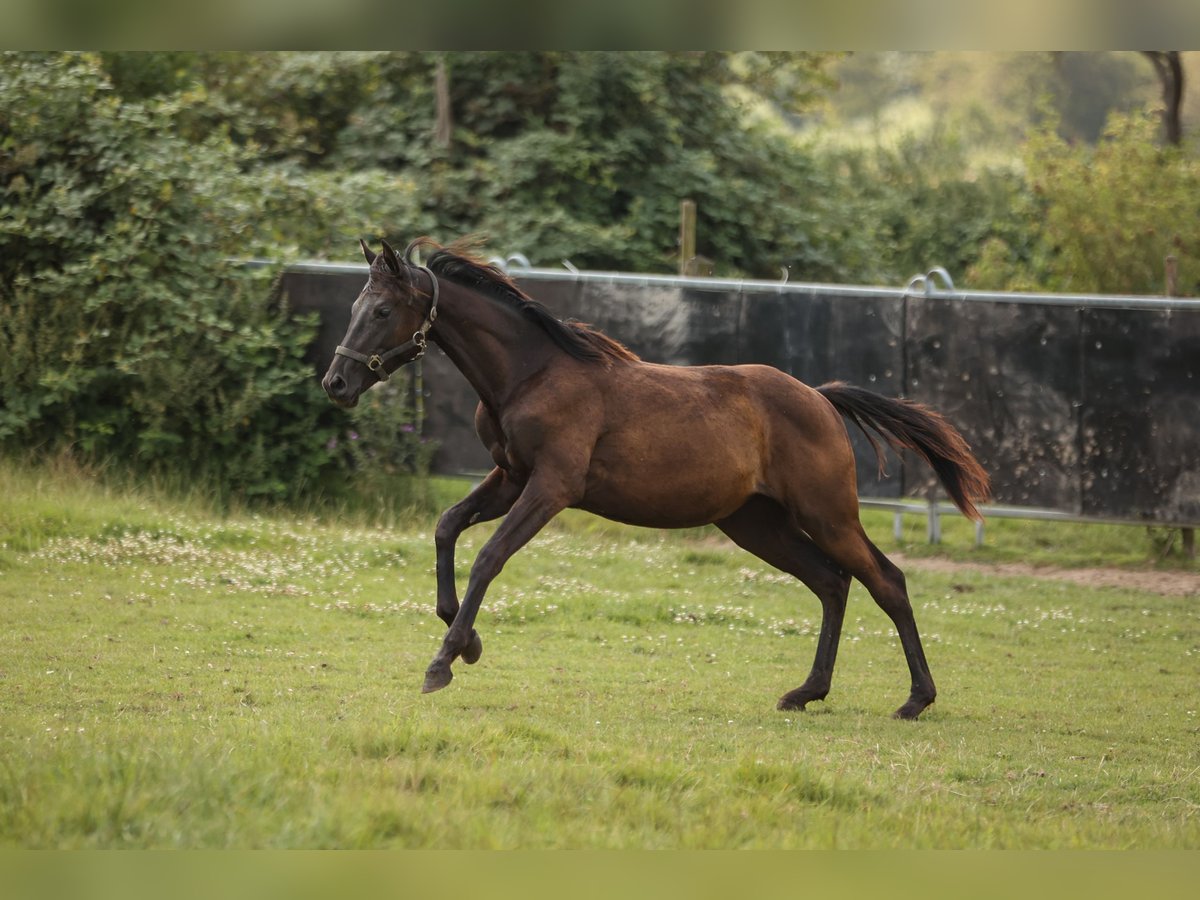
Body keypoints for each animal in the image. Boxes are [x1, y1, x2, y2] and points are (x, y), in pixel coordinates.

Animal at [324, 237, 988, 720]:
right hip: (755, 523)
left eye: (382, 309)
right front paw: (468, 642)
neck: (531, 374)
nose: (337, 383)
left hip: (826, 514)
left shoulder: (551, 488)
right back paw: (806, 693)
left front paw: (443, 662)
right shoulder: (510, 477)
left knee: (886, 581)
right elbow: (445, 527)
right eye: (353, 308)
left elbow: (488, 555)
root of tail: (820, 398)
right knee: (831, 582)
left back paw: (915, 700)